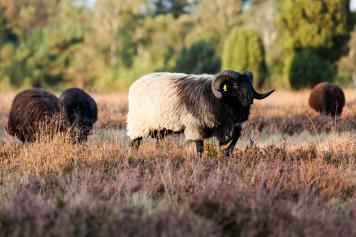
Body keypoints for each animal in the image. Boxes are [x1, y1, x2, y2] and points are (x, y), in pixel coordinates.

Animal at [126, 70, 274, 156]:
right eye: (236, 85)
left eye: (250, 84)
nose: (250, 99)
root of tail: (135, 84)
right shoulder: (195, 127)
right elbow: (199, 149)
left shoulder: (227, 126)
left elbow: (235, 138)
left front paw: (227, 152)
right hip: (138, 125)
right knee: (135, 144)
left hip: (159, 129)